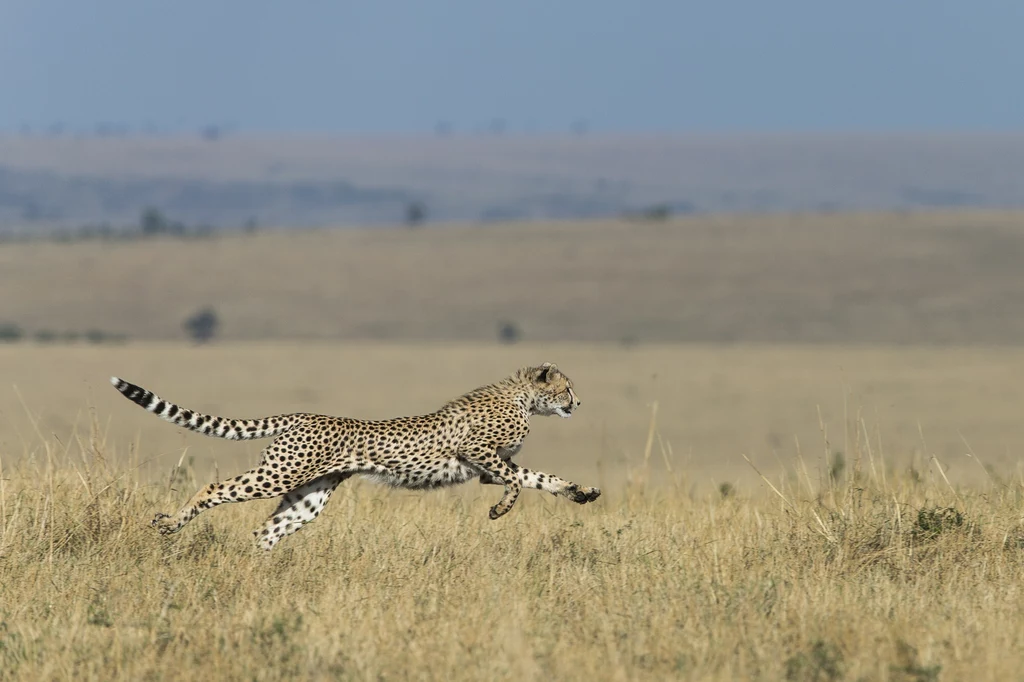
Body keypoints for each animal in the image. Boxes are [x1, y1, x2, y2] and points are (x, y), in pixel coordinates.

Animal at [108, 360, 598, 548]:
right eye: (566, 388)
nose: (578, 404)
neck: (523, 398)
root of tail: (304, 414)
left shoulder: (489, 465)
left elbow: (538, 477)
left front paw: (579, 491)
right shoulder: (477, 452)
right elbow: (517, 481)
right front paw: (501, 509)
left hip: (308, 496)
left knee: (263, 531)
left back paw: (253, 572)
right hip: (279, 475)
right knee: (213, 488)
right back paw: (171, 523)